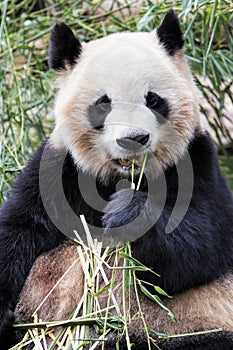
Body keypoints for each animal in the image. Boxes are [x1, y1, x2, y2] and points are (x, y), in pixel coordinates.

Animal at [0, 9, 233, 348]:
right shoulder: (57, 169)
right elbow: (17, 229)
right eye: (104, 103)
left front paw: (125, 212)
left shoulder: (197, 163)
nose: (133, 139)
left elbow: (200, 247)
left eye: (153, 100)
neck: (122, 177)